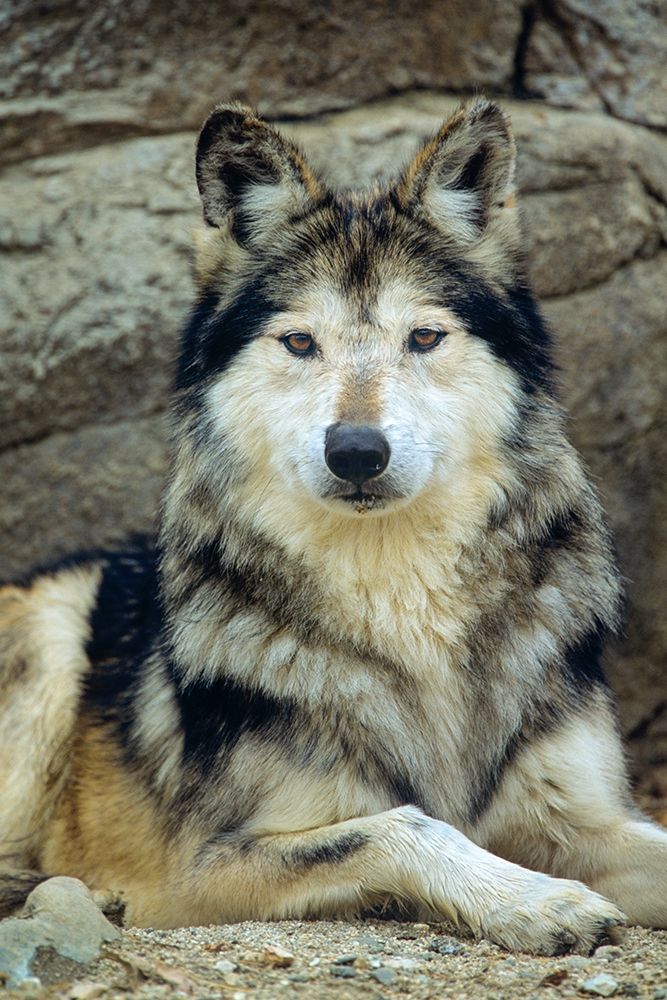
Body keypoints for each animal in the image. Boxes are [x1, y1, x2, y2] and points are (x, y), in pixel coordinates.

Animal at [1, 100, 666, 954]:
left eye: (423, 337)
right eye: (299, 342)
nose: (354, 451)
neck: (401, 607)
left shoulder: (581, 816)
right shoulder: (198, 870)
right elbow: (409, 825)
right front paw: (538, 900)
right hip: (52, 631)